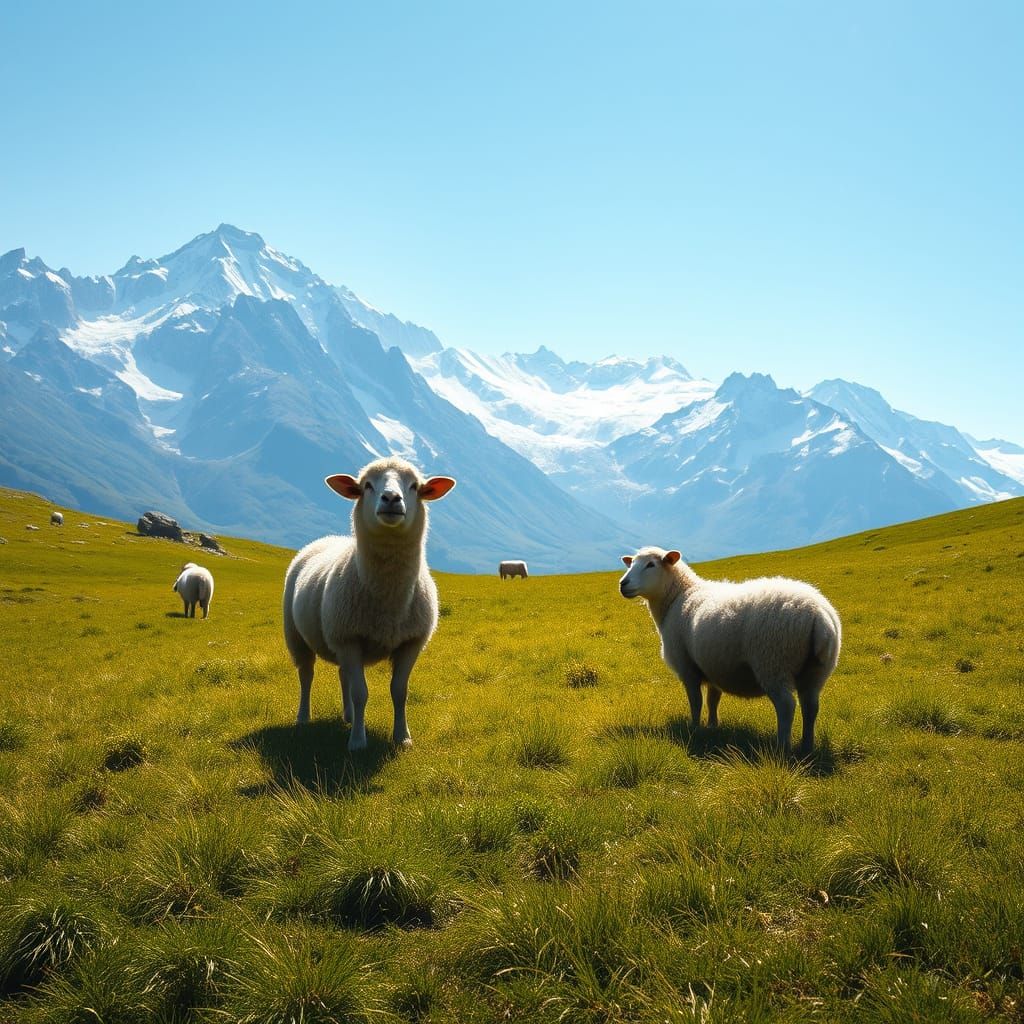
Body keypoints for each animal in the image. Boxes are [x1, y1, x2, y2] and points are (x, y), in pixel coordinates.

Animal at [282, 456, 456, 751]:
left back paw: (349, 717)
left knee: (343, 675)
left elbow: (399, 692)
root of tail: (328, 538)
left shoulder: (411, 643)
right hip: (297, 637)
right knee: (306, 676)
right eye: (367, 485)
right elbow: (360, 693)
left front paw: (403, 737)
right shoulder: (349, 639)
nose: (391, 498)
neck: (389, 600)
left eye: (414, 486)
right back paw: (304, 717)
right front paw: (357, 743)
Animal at [619, 547, 841, 755]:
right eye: (631, 563)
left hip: (773, 662)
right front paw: (712, 726)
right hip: (816, 670)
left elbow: (696, 702)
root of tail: (819, 615)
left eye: (651, 565)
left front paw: (694, 728)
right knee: (811, 707)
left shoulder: (688, 666)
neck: (677, 597)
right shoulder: (711, 666)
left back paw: (782, 748)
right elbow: (712, 700)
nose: (622, 583)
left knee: (786, 706)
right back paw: (807, 747)